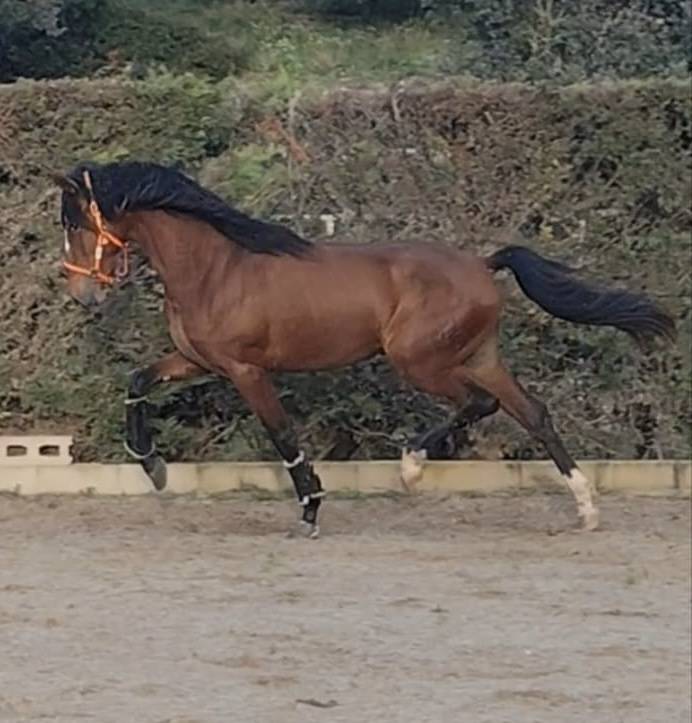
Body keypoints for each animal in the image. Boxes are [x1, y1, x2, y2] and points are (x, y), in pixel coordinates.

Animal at [54, 161, 675, 537]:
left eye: (80, 225)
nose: (83, 294)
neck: (216, 268)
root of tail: (482, 264)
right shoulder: (199, 362)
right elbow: (137, 382)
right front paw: (153, 466)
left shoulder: (244, 369)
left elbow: (282, 435)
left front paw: (310, 510)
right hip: (479, 356)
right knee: (533, 413)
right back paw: (586, 508)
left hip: (418, 359)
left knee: (481, 405)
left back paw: (411, 467)